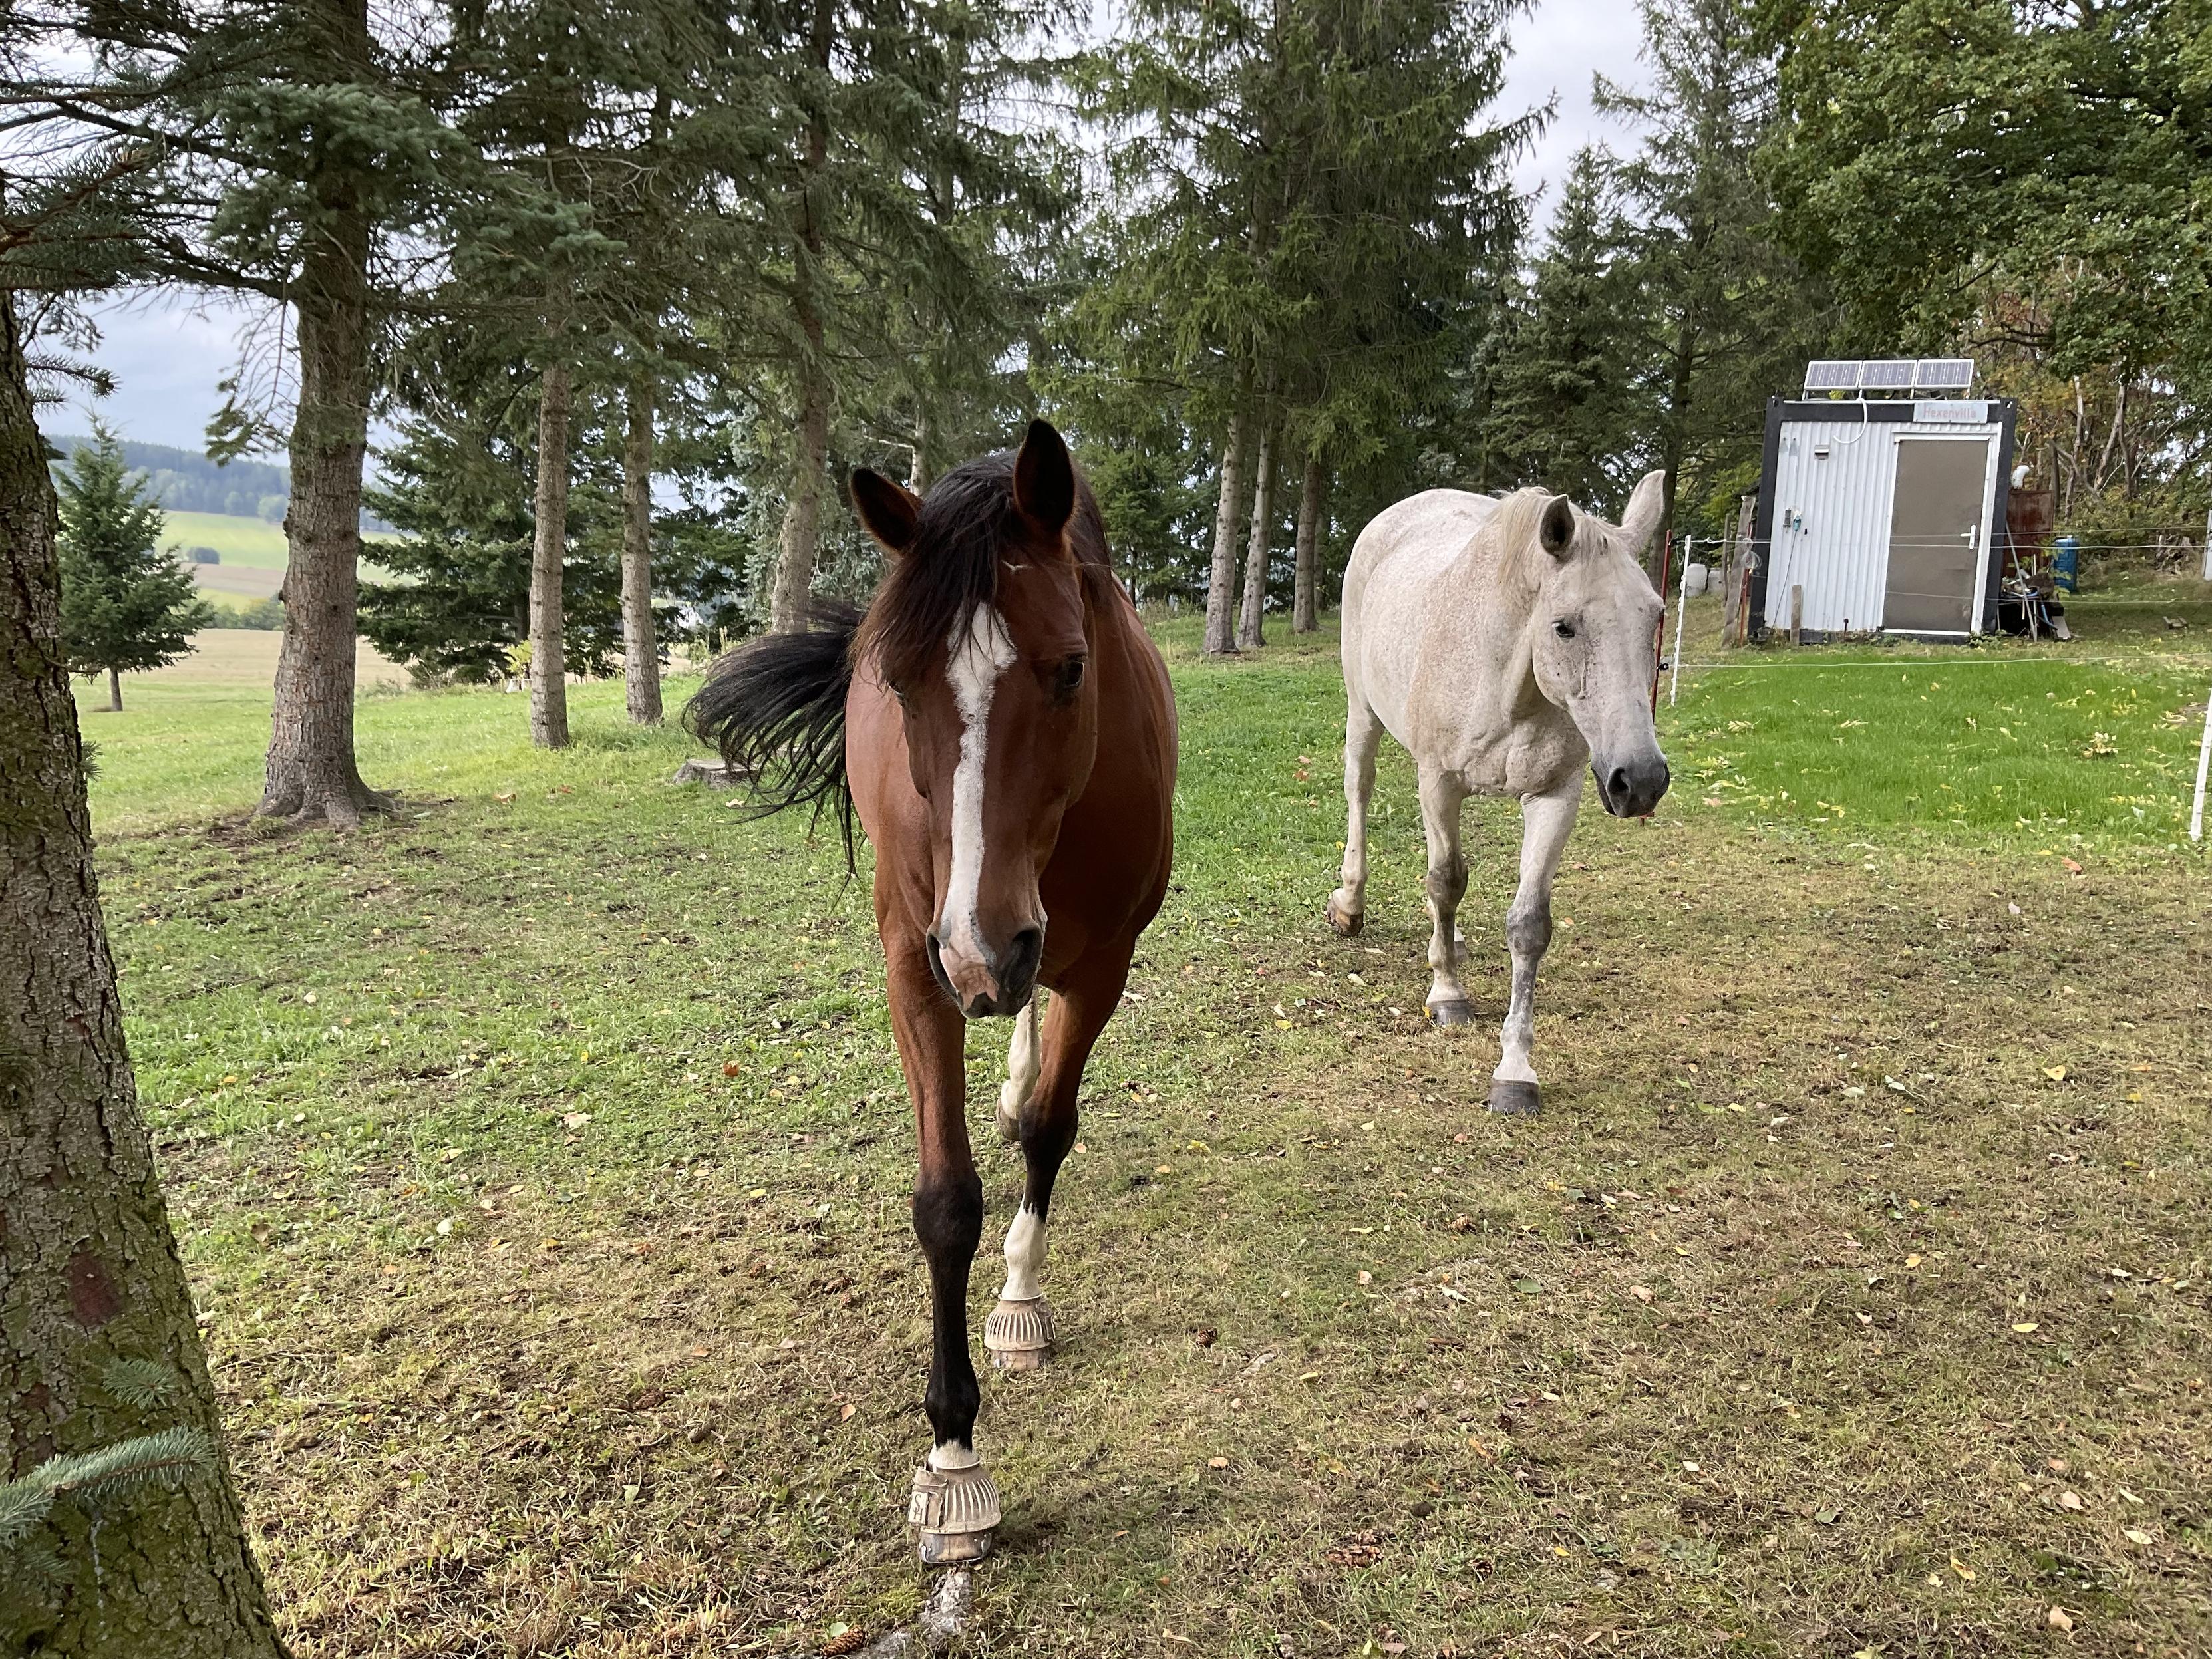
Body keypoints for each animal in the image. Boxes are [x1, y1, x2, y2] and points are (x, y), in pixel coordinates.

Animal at [688, 421, 1177, 1564]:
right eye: (900, 684)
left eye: (1072, 668)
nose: (982, 947)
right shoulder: (916, 969)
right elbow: (946, 1201)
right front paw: (954, 1458)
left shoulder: (1104, 961)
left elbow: (1050, 1129)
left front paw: (1020, 1296)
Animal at [1326, 473, 1672, 1115]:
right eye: (1563, 625)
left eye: (1654, 616)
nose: (1640, 780)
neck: (1505, 674)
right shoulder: (1439, 781)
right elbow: (1446, 881)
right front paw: (1446, 994)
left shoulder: (1556, 796)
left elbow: (1528, 924)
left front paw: (1515, 1069)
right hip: (1364, 714)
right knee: (1359, 791)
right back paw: (1351, 905)